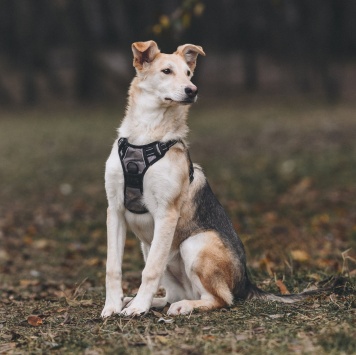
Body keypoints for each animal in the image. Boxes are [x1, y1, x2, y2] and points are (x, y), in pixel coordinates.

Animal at [101, 41, 328, 318]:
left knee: (220, 298)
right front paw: (112, 305)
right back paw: (141, 301)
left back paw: (182, 305)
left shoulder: (166, 213)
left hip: (195, 243)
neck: (146, 135)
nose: (192, 90)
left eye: (189, 73)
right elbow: (113, 267)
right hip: (152, 247)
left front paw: (138, 308)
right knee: (173, 293)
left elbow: (150, 270)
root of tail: (246, 282)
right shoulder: (115, 210)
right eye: (166, 71)